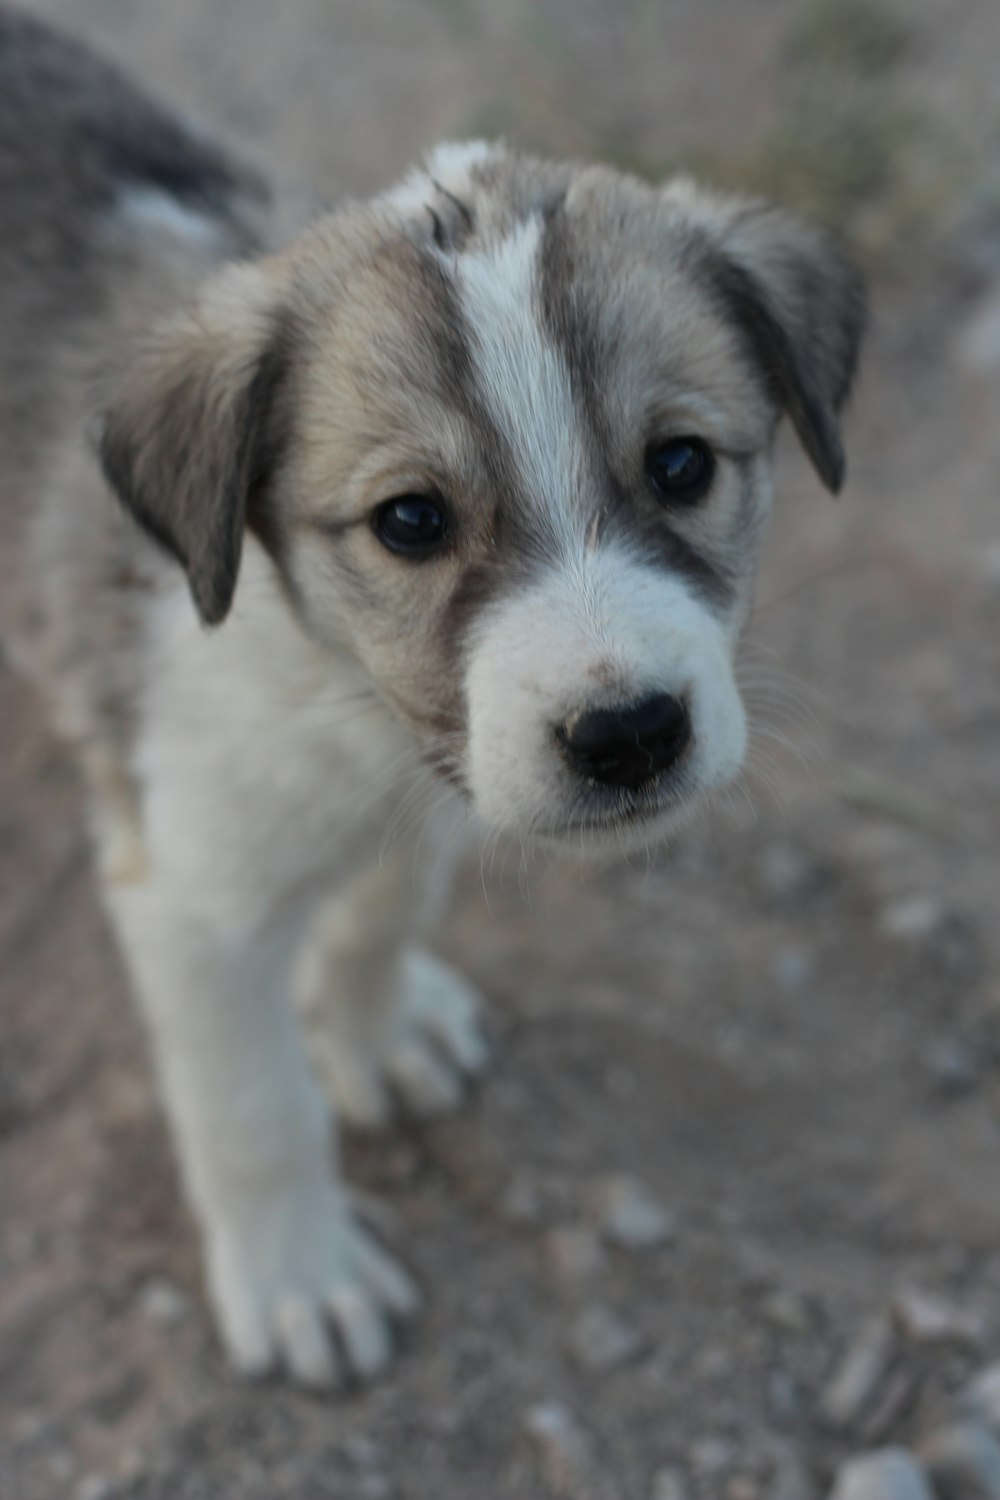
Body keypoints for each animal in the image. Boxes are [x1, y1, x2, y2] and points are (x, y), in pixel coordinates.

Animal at [0, 5, 863, 1392]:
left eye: (681, 463)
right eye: (410, 521)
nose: (629, 737)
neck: (336, 695)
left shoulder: (446, 772)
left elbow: (381, 911)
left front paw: (373, 1029)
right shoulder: (187, 896)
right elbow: (254, 1111)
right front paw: (301, 1274)